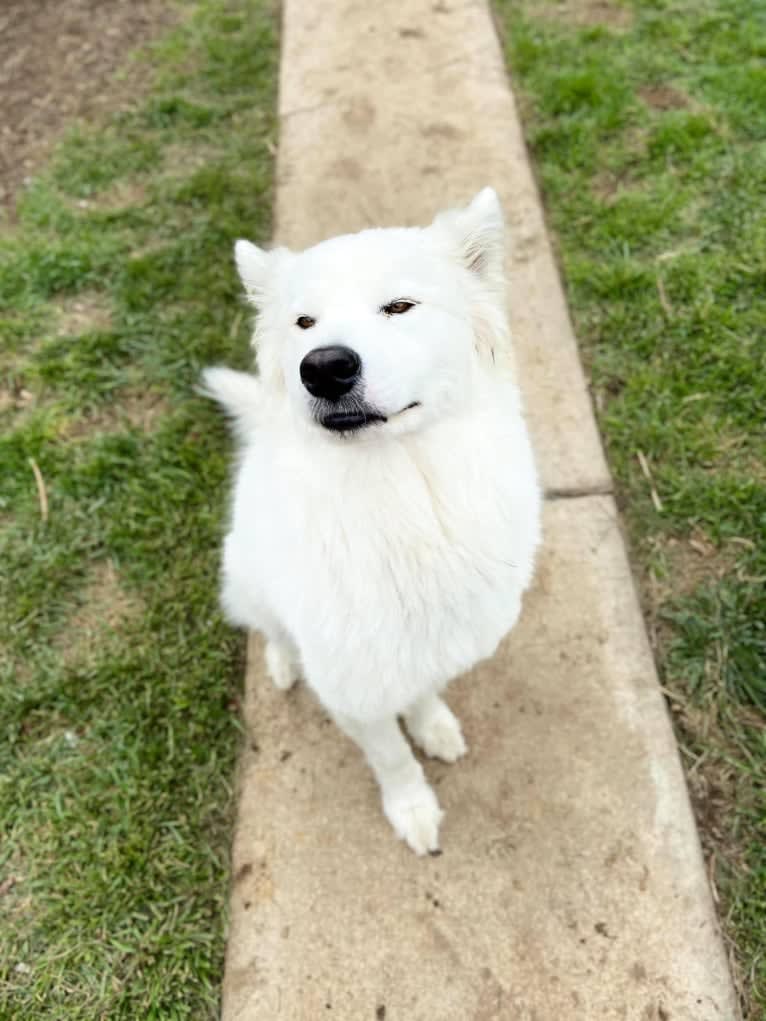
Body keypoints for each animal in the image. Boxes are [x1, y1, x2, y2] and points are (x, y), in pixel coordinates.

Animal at [202, 189, 539, 853]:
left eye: (399, 307)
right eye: (304, 324)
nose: (323, 367)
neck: (401, 494)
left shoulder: (422, 648)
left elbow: (425, 693)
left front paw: (432, 725)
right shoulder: (353, 686)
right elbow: (391, 758)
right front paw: (412, 809)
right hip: (245, 574)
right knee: (269, 628)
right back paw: (282, 663)